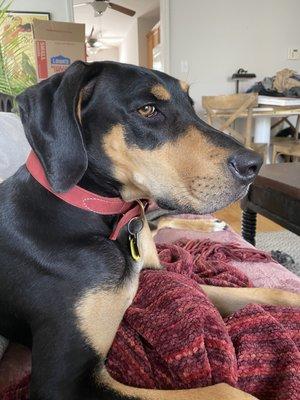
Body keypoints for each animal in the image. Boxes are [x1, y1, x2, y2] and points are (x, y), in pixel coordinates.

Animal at [0, 60, 300, 400]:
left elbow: (267, 291)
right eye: (147, 109)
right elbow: (225, 391)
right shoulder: (62, 382)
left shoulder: (158, 274)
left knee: (157, 219)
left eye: (190, 104)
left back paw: (211, 223)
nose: (255, 165)